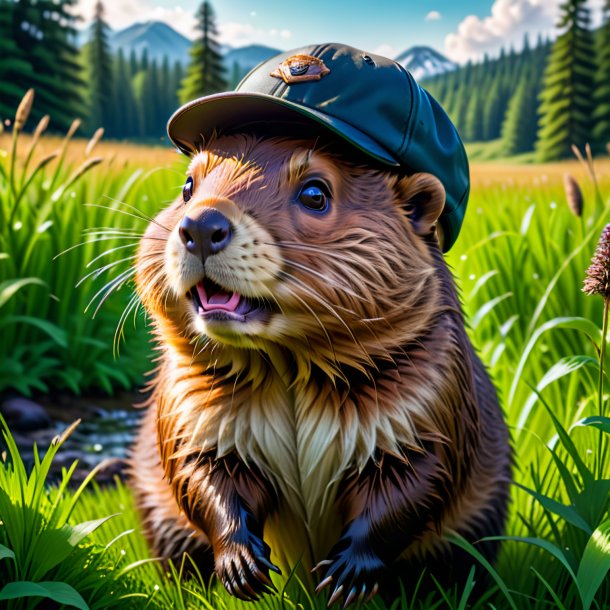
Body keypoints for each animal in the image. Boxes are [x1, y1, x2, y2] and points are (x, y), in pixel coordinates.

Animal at [131, 44, 510, 604]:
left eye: (315, 193)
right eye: (187, 185)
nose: (200, 225)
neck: (289, 368)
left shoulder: (433, 399)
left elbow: (417, 484)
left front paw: (344, 576)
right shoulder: (190, 404)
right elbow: (199, 473)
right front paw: (244, 567)